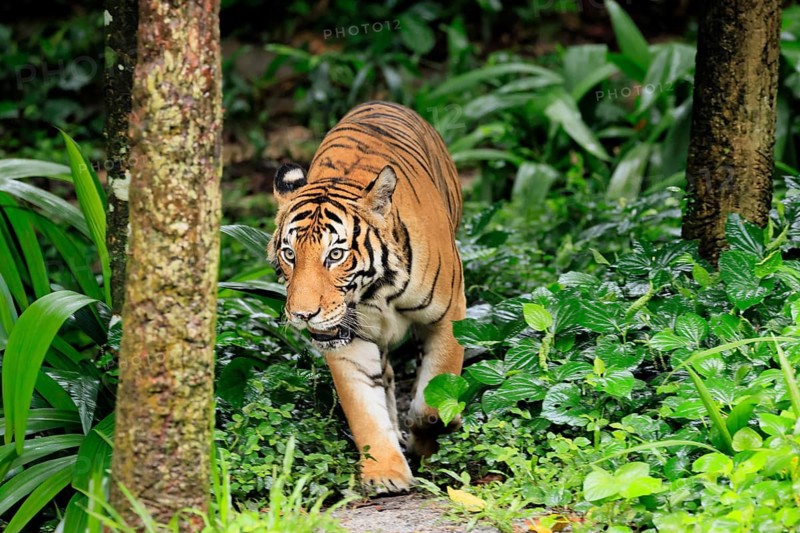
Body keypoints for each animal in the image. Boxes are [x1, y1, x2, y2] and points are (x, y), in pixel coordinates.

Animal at [266, 101, 466, 493]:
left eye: (335, 255)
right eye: (290, 254)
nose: (302, 314)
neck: (376, 291)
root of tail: (378, 102)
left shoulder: (449, 316)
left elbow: (434, 400)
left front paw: (426, 439)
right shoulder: (349, 340)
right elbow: (364, 407)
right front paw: (386, 472)